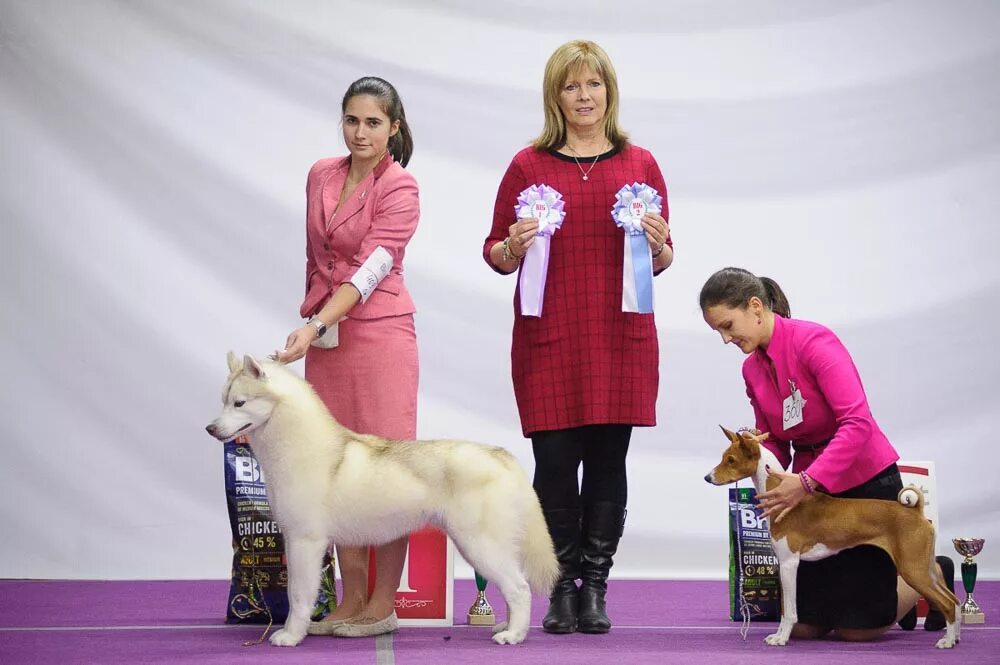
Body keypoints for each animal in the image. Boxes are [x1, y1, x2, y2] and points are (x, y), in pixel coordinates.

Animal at [206, 352, 560, 644]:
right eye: (223, 401)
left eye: (239, 403)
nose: (210, 428)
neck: (296, 447)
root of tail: (501, 454)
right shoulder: (297, 541)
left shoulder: (305, 541)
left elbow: (298, 594)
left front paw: (291, 636)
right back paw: (507, 626)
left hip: (479, 544)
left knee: (520, 588)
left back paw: (514, 635)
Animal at [704, 426, 960, 648]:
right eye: (724, 457)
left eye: (731, 460)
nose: (707, 477)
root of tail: (915, 510)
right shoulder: (783, 564)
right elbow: (785, 610)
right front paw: (777, 635)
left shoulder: (789, 563)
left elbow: (790, 611)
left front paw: (782, 638)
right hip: (924, 568)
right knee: (953, 599)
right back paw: (955, 636)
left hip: (912, 569)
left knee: (947, 603)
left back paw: (947, 641)